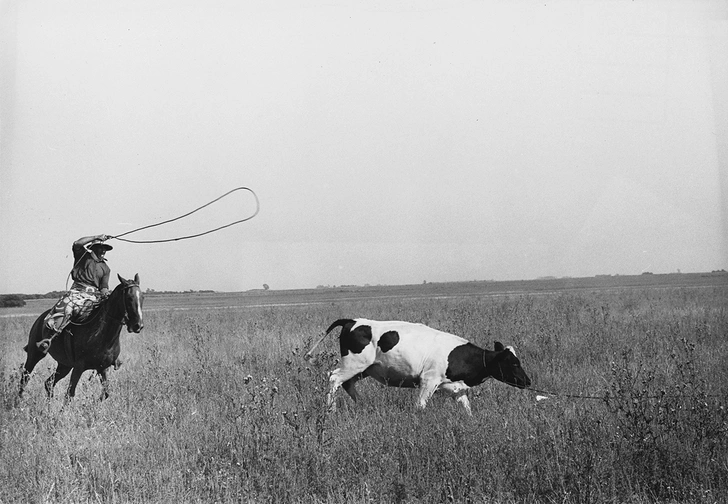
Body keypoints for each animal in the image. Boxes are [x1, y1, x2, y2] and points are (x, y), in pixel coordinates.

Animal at [304, 316, 532, 416]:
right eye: (513, 362)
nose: (528, 381)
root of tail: (352, 320)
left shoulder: (455, 386)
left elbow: (466, 407)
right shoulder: (428, 380)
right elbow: (420, 405)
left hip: (365, 370)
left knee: (347, 384)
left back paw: (364, 405)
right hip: (353, 364)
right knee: (334, 378)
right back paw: (331, 409)